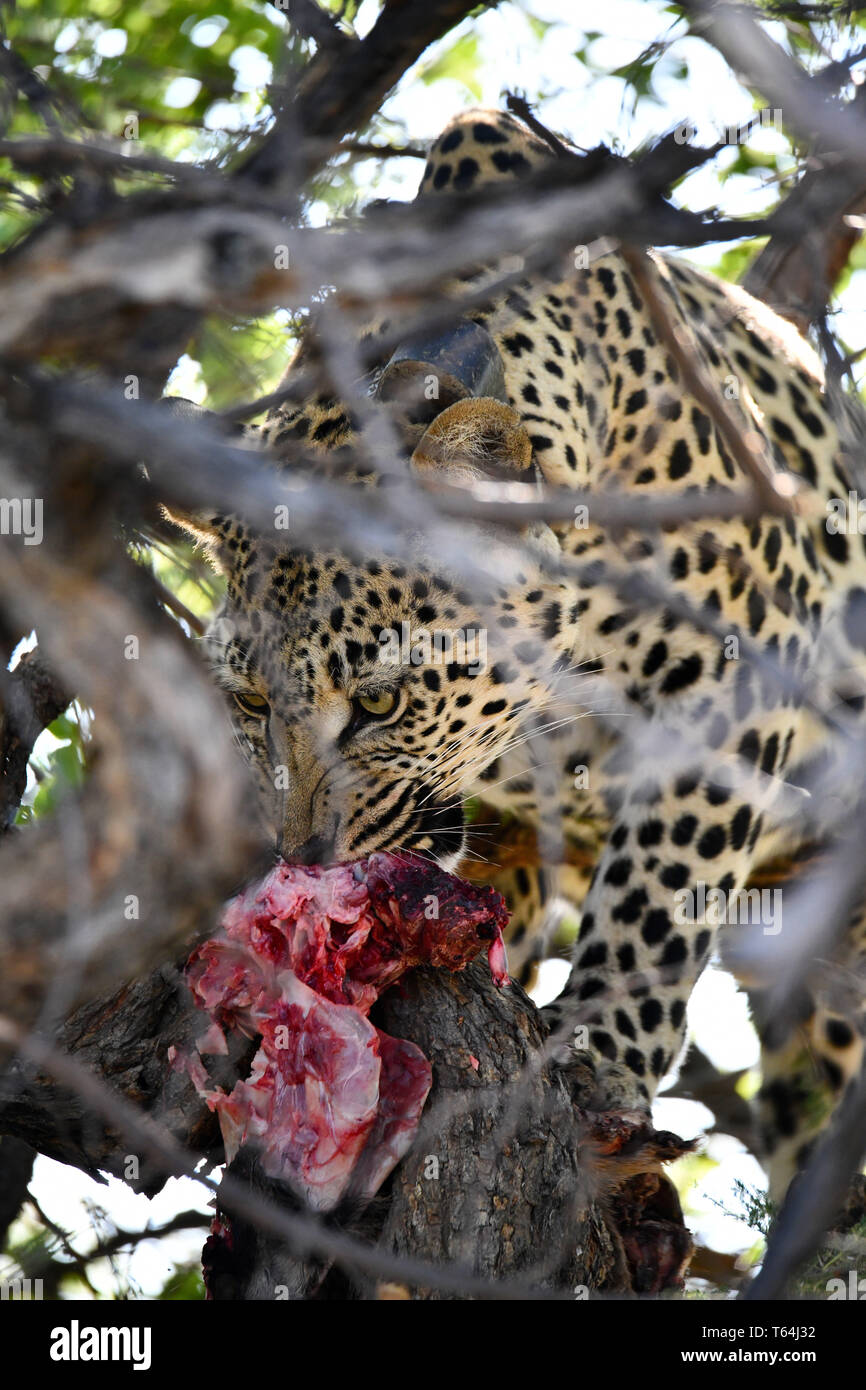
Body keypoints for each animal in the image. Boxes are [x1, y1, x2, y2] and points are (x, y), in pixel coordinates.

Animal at [170, 107, 866, 1201]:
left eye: (378, 701)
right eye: (247, 703)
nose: (303, 858)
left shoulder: (734, 676)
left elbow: (660, 891)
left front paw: (603, 1049)